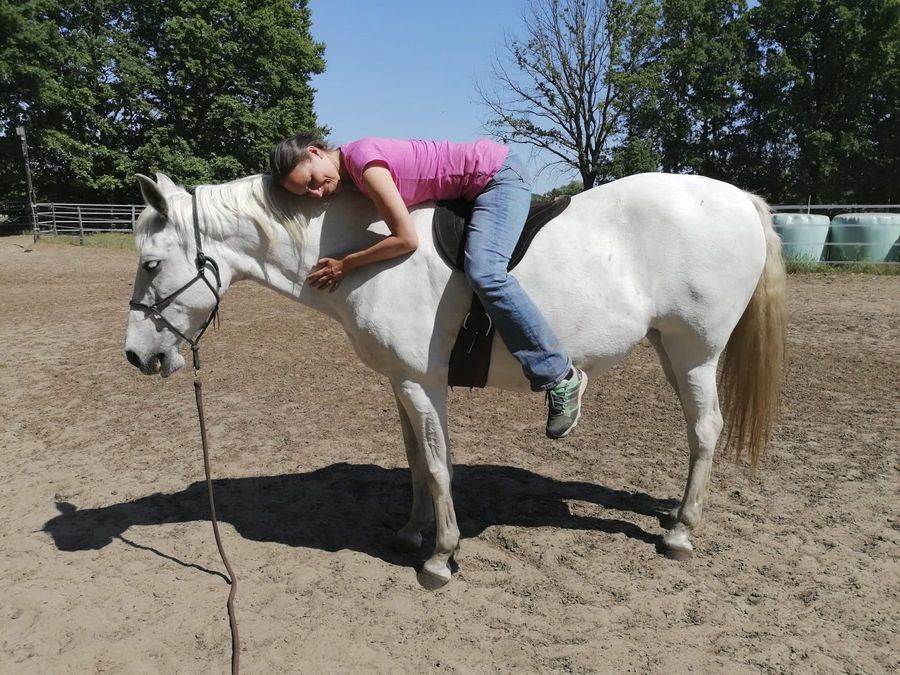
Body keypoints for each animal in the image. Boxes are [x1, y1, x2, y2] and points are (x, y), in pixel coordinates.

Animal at [125, 171, 786, 589]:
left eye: (151, 264)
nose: (135, 356)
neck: (371, 252)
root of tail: (738, 200)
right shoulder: (401, 382)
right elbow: (417, 461)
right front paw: (412, 531)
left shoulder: (424, 383)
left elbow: (440, 467)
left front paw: (441, 557)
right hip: (671, 351)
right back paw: (672, 514)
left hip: (696, 352)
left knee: (705, 430)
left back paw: (680, 533)